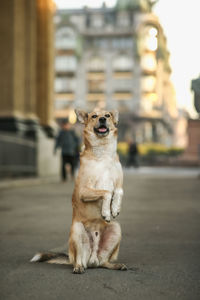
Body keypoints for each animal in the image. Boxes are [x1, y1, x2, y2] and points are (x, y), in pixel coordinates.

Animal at [30, 109, 127, 274]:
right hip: (77, 230)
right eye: (94, 116)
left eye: (107, 115)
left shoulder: (119, 185)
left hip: (116, 228)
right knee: (79, 259)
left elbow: (118, 193)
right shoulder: (84, 191)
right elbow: (106, 192)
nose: (102, 119)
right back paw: (79, 267)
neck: (103, 155)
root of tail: (92, 259)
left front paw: (114, 209)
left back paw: (116, 265)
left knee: (104, 262)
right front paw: (106, 212)